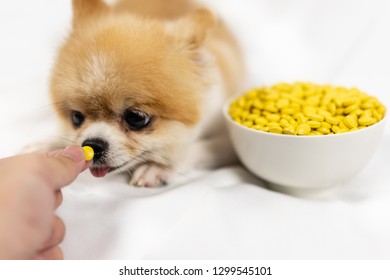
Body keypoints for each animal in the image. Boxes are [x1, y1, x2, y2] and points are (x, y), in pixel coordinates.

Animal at [48, 0, 244, 188]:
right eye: (76, 118)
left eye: (136, 118)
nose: (92, 144)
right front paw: (49, 146)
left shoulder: (228, 142)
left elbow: (191, 149)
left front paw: (157, 167)